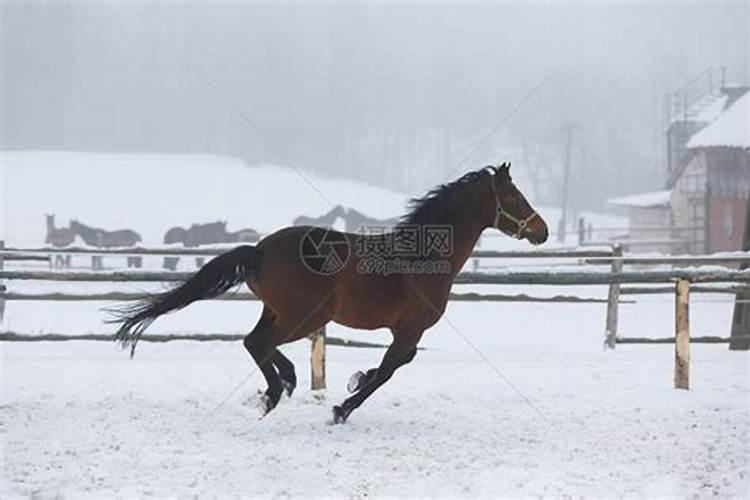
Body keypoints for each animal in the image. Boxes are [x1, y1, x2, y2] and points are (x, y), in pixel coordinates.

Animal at [108, 164, 548, 422]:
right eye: (514, 196)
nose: (541, 230)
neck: (421, 258)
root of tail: (261, 249)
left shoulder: (405, 331)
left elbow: (394, 364)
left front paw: (354, 380)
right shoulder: (411, 328)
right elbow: (390, 368)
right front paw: (342, 407)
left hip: (282, 312)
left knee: (257, 341)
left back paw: (282, 384)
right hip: (305, 316)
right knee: (258, 343)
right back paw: (275, 392)